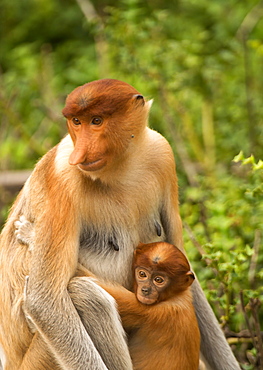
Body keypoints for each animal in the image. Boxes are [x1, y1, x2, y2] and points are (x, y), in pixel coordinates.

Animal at [14, 217, 200, 370]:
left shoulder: (154, 310)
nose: (146, 290)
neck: (176, 295)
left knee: (84, 292)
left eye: (159, 280)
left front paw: (30, 234)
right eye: (142, 274)